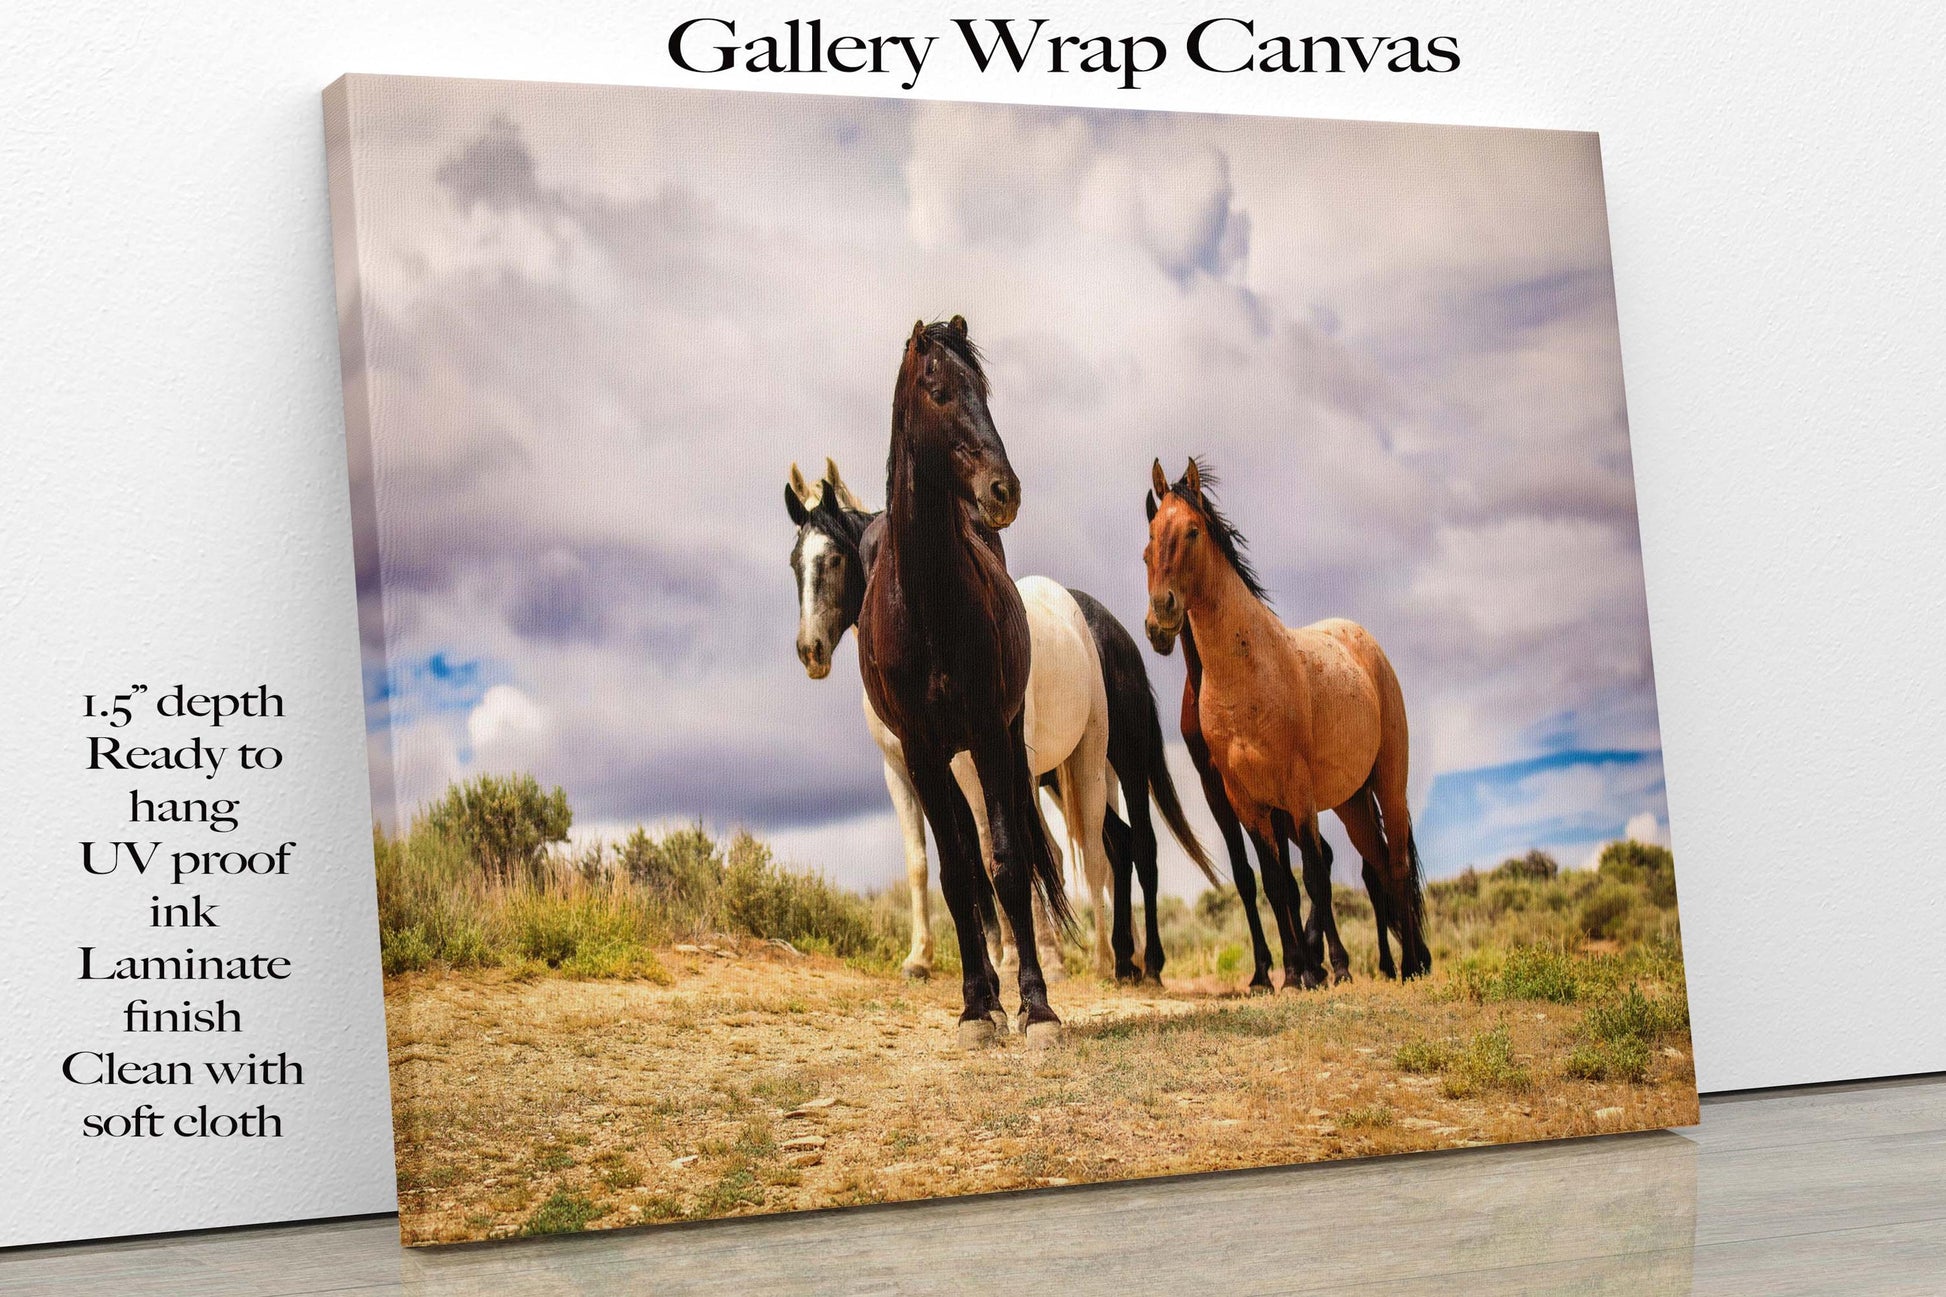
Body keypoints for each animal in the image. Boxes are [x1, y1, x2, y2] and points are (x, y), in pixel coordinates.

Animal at [856, 317, 1074, 1043]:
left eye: (984, 390)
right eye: (940, 391)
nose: (1004, 491)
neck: (928, 604)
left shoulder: (986, 732)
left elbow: (1006, 862)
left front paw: (1035, 1007)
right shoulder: (922, 751)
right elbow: (955, 874)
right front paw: (978, 1005)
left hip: (1002, 742)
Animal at [1136, 459, 1432, 973]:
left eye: (1192, 531)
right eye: (1150, 538)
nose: (1161, 617)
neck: (1245, 677)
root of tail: (1362, 640)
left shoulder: (1296, 791)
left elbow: (1312, 878)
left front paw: (1323, 967)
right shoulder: (1244, 798)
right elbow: (1274, 883)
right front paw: (1294, 972)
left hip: (1388, 782)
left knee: (1393, 864)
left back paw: (1411, 964)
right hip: (1351, 801)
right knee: (1375, 865)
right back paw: (1389, 965)